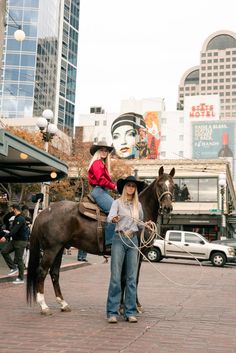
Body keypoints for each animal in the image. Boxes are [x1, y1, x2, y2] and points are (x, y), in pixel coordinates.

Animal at [27, 165, 175, 314]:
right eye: (160, 184)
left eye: (173, 185)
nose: (168, 207)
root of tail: (44, 211)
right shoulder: (136, 254)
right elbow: (132, 278)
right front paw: (132, 306)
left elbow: (126, 278)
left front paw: (124, 305)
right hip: (51, 249)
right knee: (42, 272)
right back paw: (44, 306)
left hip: (60, 248)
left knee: (54, 273)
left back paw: (63, 303)